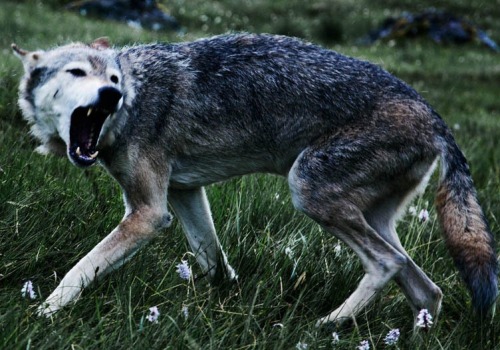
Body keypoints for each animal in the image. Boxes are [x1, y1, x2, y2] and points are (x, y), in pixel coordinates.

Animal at [11, 32, 496, 326]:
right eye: (76, 72)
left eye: (113, 77)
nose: (112, 94)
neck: (137, 94)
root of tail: (435, 117)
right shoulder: (185, 194)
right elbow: (212, 260)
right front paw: (223, 300)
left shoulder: (149, 214)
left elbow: (80, 269)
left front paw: (42, 314)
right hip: (373, 219)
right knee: (428, 290)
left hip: (307, 190)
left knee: (388, 263)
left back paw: (327, 325)